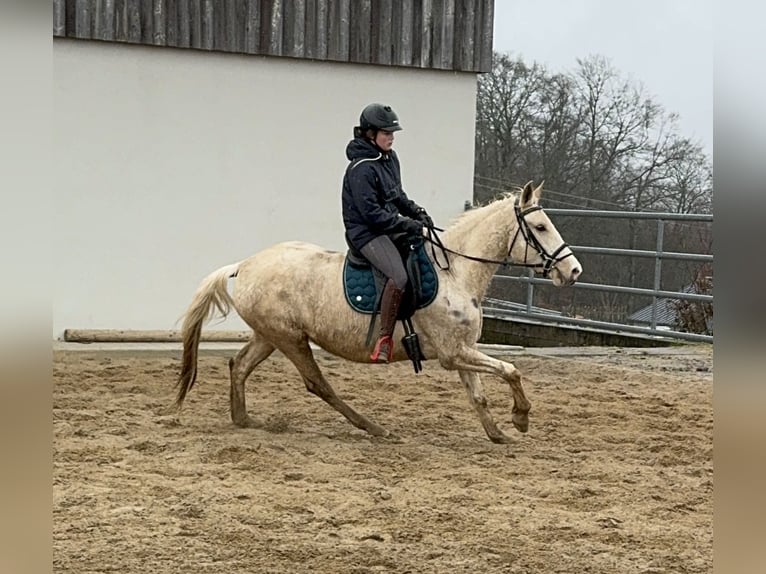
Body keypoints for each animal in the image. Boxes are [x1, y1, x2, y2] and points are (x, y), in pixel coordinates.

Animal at [176, 182, 584, 444]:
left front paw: (498, 434)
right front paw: (521, 418)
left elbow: (480, 395)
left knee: (239, 366)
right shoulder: (454, 353)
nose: (574, 271)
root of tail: (244, 265)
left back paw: (243, 419)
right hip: (291, 340)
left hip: (270, 336)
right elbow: (511, 370)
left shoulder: (461, 350)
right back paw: (374, 428)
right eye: (540, 226)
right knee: (317, 384)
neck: (455, 271)